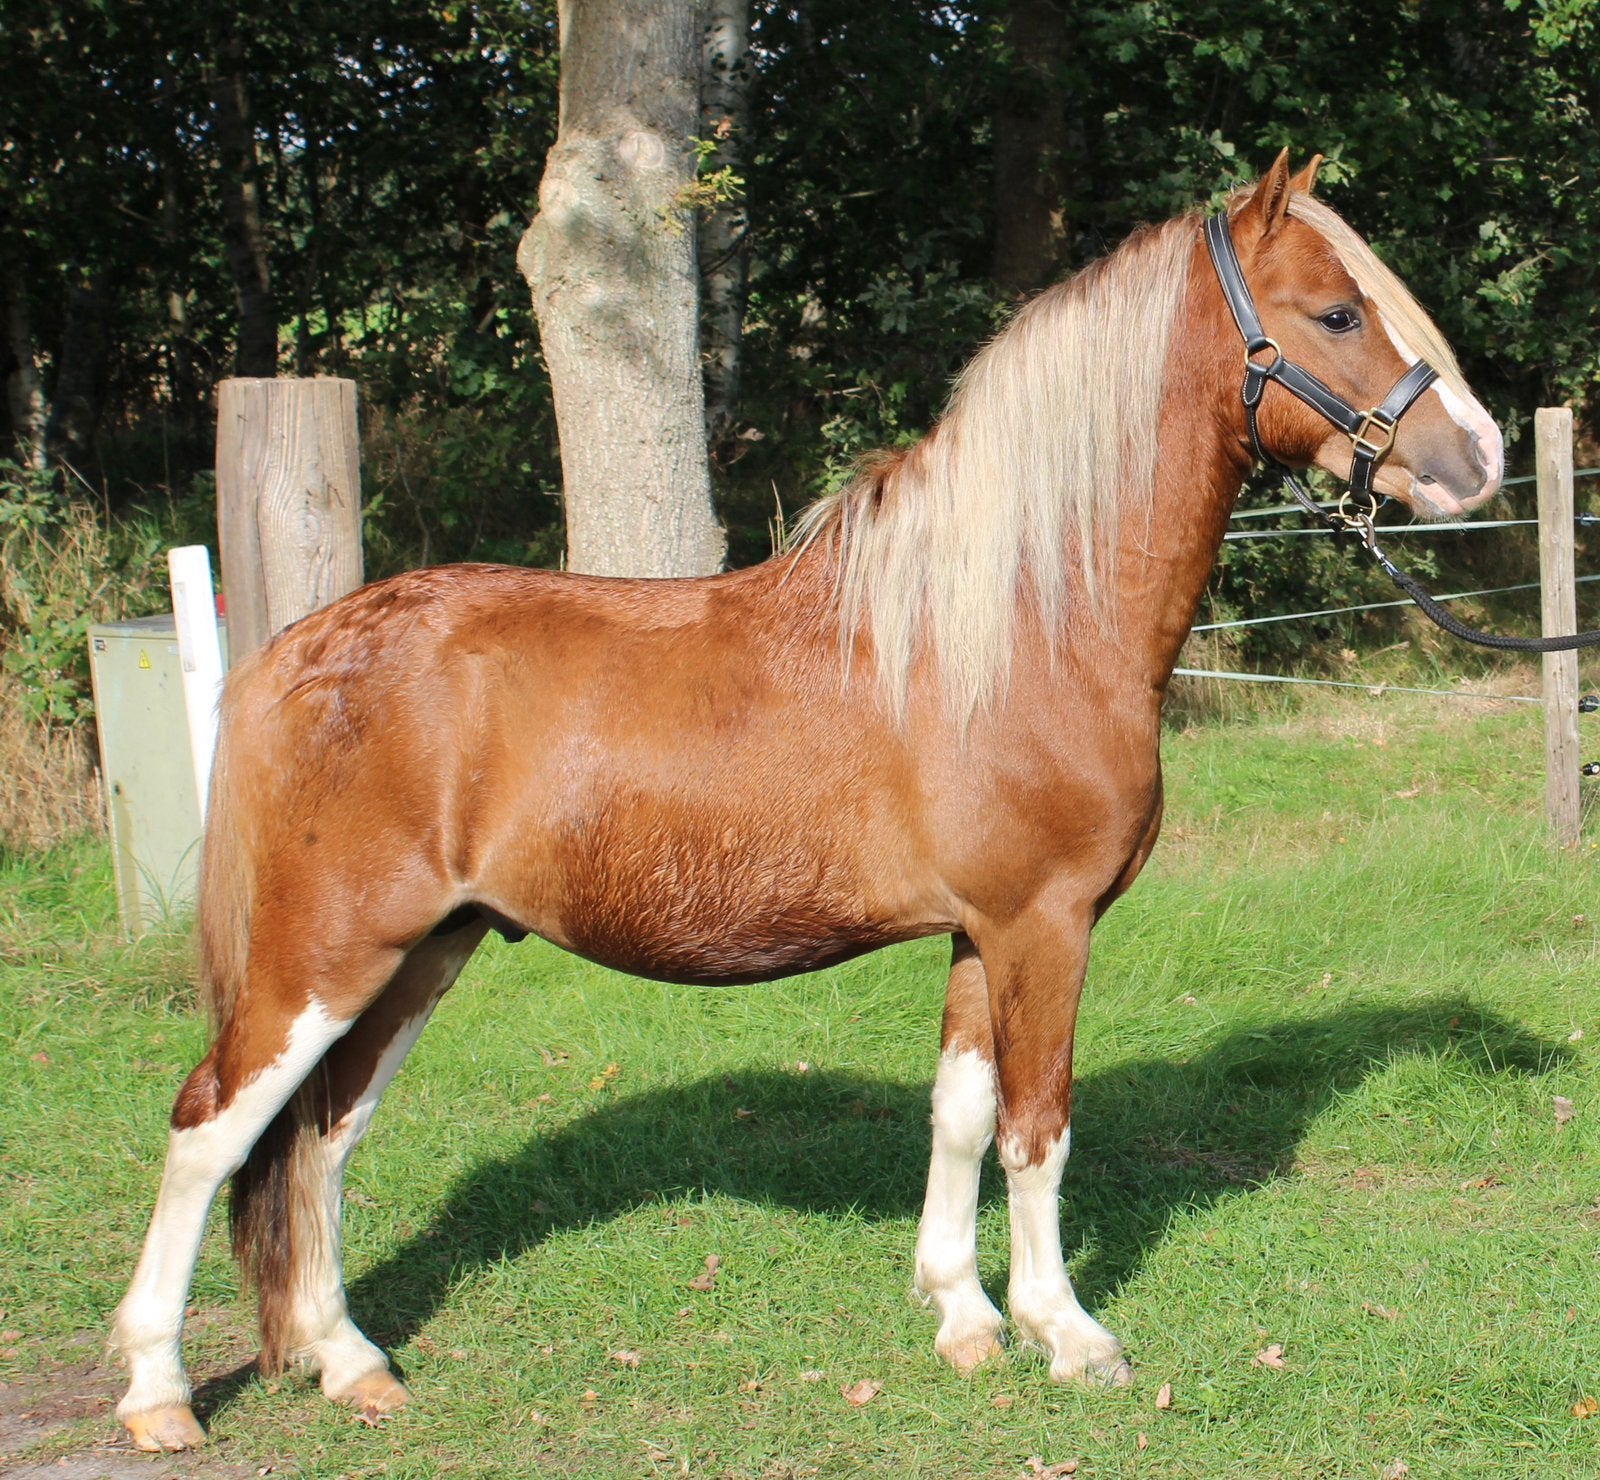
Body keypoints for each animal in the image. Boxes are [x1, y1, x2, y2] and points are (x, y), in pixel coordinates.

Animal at [112, 152, 1503, 1451]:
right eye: (1334, 312)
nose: (1477, 460)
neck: (1024, 616)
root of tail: (297, 650)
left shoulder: (979, 932)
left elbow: (961, 1114)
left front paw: (962, 1315)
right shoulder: (1043, 925)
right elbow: (1037, 1128)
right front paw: (1067, 1334)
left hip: (421, 952)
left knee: (324, 1136)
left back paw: (349, 1360)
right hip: (325, 954)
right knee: (209, 1129)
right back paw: (159, 1390)